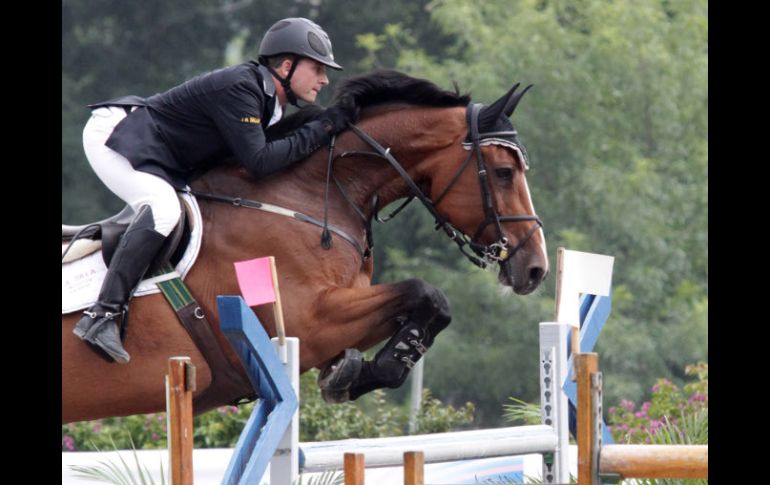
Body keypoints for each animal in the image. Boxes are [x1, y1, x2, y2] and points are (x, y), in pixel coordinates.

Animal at [64, 69, 544, 424]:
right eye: (503, 172)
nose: (536, 269)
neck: (310, 194)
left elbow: (431, 306)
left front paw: (354, 372)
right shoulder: (310, 321)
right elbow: (425, 291)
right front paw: (366, 371)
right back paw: (101, 330)